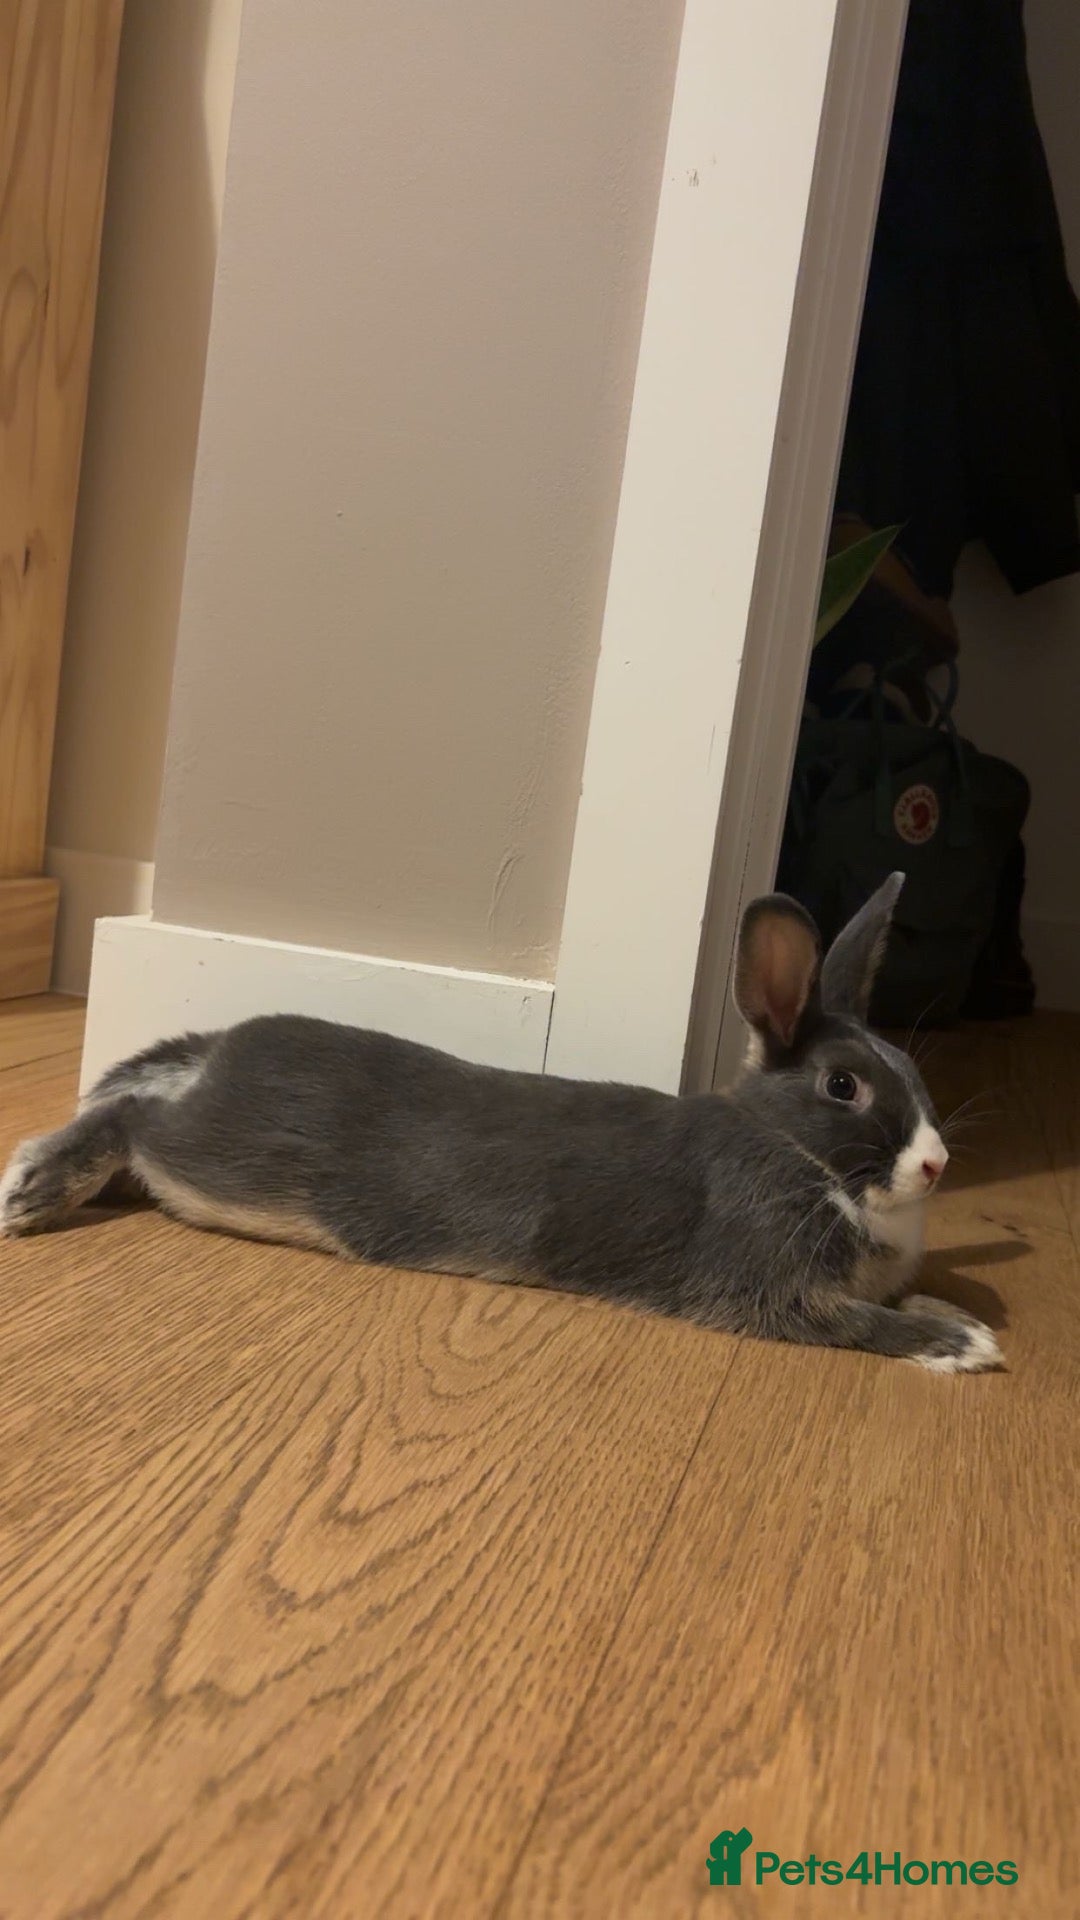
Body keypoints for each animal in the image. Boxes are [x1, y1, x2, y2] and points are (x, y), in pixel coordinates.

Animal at [0, 872, 1000, 1372]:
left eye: (911, 1071)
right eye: (843, 1087)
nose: (937, 1165)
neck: (793, 1151)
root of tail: (223, 1049)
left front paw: (947, 1308)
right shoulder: (769, 1287)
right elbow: (856, 1323)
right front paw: (963, 1343)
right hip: (226, 1166)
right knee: (132, 1120)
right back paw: (33, 1188)